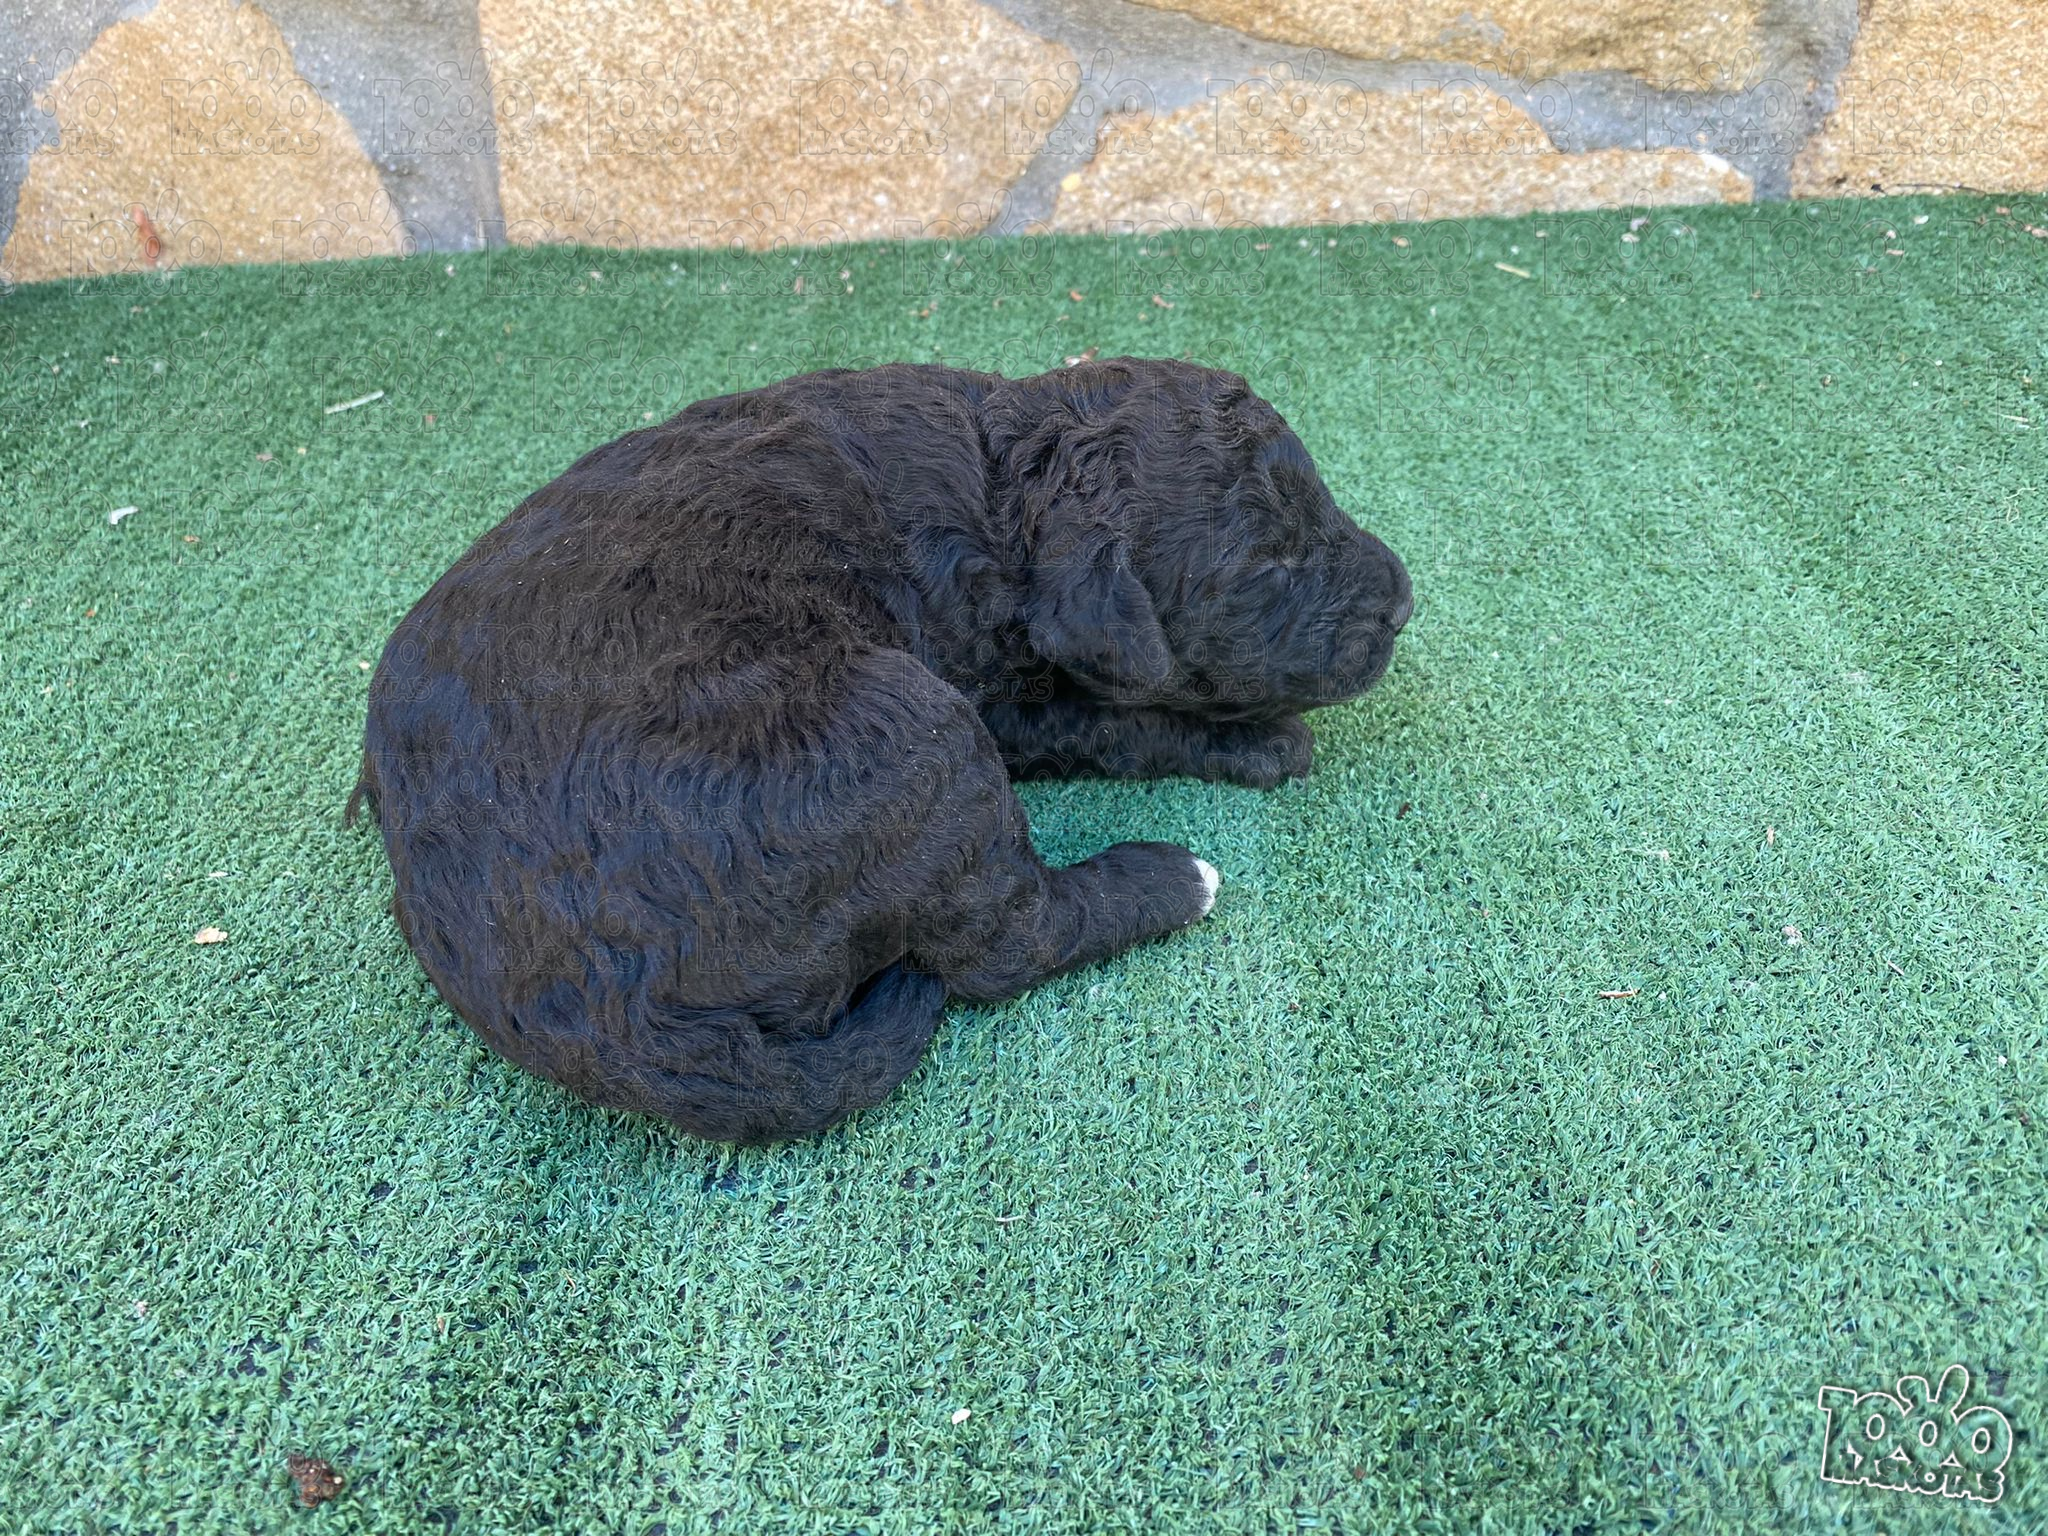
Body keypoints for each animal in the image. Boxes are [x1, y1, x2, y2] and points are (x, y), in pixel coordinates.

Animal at [351, 358, 1412, 1144]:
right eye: (1267, 568)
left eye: (1319, 498)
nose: (1404, 601)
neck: (1002, 485)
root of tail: (612, 1023)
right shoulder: (1000, 696)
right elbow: (1129, 717)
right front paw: (1264, 742)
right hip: (915, 731)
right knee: (1009, 945)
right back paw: (1171, 878)